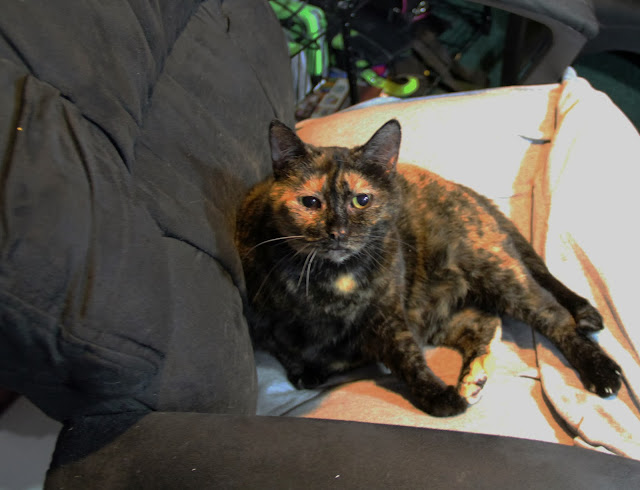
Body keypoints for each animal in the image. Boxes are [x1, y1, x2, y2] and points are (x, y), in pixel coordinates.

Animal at [235, 118, 622, 417]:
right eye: (310, 202)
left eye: (362, 199)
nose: (338, 232)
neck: (334, 282)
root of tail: (465, 190)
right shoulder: (263, 321)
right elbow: (287, 351)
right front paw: (305, 368)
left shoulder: (389, 315)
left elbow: (408, 358)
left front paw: (436, 397)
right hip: (438, 310)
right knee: (484, 323)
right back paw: (473, 379)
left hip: (497, 271)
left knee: (555, 315)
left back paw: (601, 370)